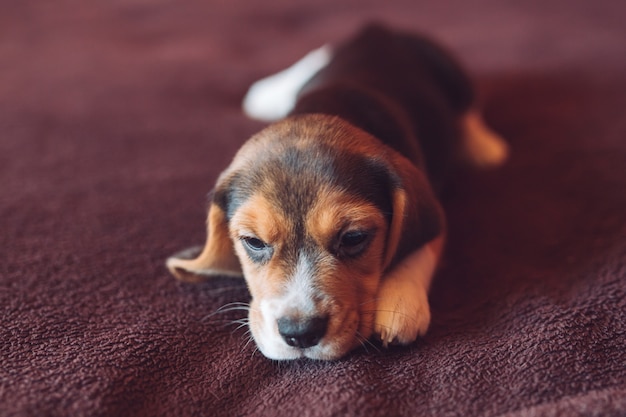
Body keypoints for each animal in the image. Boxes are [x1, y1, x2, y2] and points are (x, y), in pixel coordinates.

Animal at [167, 23, 508, 358]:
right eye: (254, 242)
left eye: (354, 238)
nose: (300, 333)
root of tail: (380, 29)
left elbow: (417, 248)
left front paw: (400, 302)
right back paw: (264, 92)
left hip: (451, 73)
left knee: (469, 111)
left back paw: (485, 149)